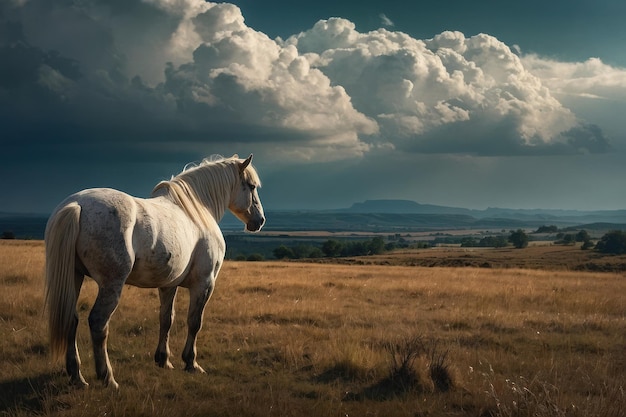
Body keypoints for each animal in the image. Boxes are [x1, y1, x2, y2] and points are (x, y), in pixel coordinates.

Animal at [44, 154, 264, 386]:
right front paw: (191, 363)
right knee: (98, 323)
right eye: (251, 186)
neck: (197, 211)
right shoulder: (204, 283)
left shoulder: (168, 285)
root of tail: (77, 205)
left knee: (71, 320)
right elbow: (194, 322)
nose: (259, 221)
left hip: (73, 278)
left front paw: (163, 360)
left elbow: (166, 319)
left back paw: (77, 377)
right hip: (111, 284)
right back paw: (108, 378)